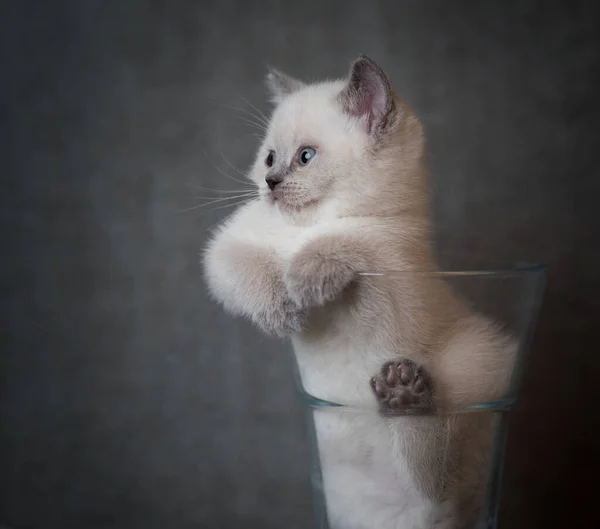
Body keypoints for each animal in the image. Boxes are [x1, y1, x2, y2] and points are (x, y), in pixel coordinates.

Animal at [203, 55, 516, 528]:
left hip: (476, 372)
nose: (270, 182)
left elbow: (350, 239)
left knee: (436, 471)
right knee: (430, 481)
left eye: (305, 157)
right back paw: (401, 394)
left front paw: (303, 280)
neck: (303, 228)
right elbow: (251, 269)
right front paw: (283, 311)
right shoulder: (227, 249)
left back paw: (405, 393)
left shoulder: (393, 266)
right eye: (270, 157)